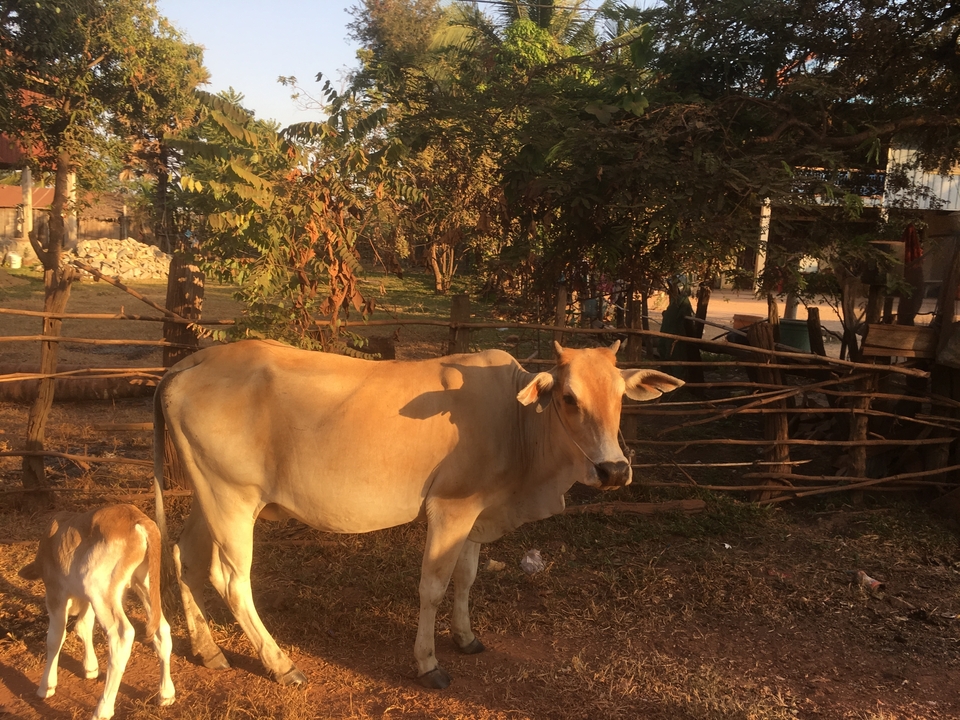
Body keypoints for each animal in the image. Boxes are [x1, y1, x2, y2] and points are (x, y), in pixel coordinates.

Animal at [18, 504, 176, 720]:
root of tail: (138, 518)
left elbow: (55, 638)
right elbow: (83, 626)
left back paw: (103, 709)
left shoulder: (56, 592)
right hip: (143, 585)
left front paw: (46, 687)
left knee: (122, 636)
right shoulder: (89, 599)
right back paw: (166, 694)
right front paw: (91, 667)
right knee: (162, 630)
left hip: (100, 589)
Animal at [152, 339, 682, 689]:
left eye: (620, 397)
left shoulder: (476, 513)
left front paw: (466, 637)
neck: (517, 422)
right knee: (231, 580)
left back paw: (209, 650)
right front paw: (428, 663)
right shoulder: (450, 508)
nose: (614, 469)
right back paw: (280, 664)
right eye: (570, 398)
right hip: (233, 499)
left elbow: (467, 578)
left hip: (208, 497)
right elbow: (433, 587)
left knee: (185, 559)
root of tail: (192, 361)